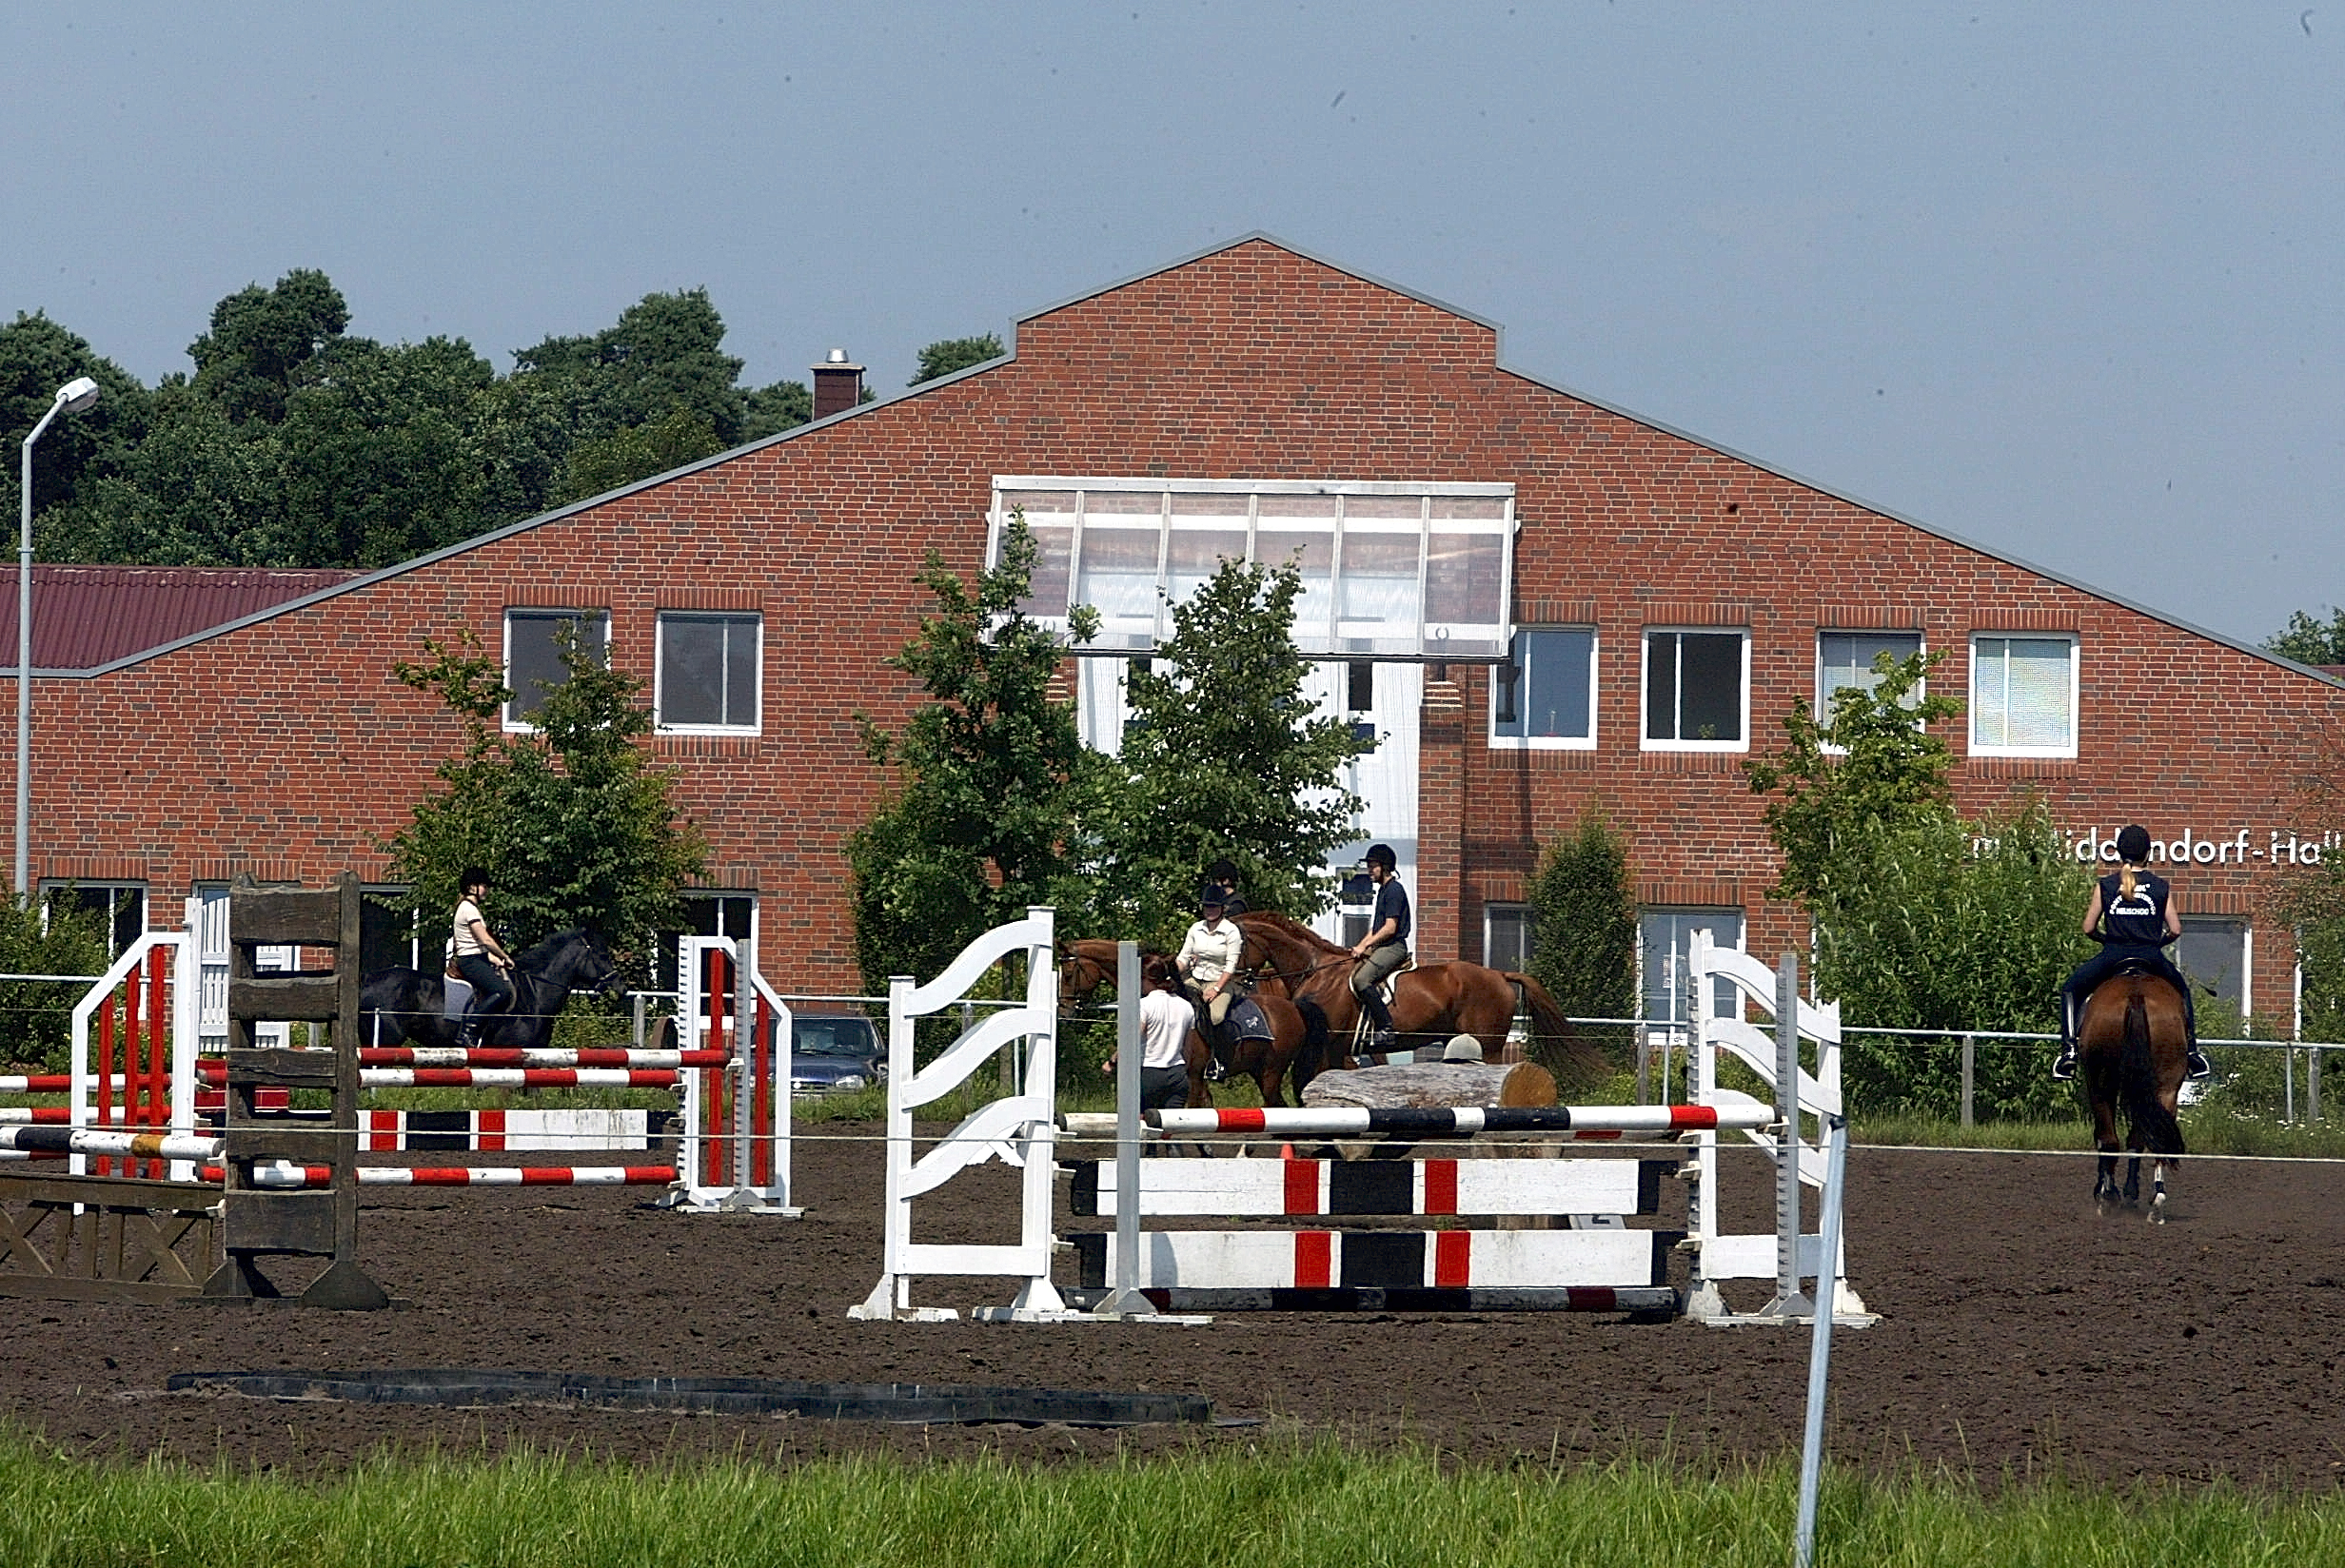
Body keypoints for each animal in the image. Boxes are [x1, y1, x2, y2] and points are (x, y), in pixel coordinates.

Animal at [1056, 939, 1332, 1109]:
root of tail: (1293, 1007)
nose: (1064, 1011)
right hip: (1259, 1071)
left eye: (1068, 975)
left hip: (1271, 1072)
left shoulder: (1193, 1076)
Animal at [1233, 911, 1610, 1089]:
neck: (1317, 970)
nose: (1233, 982)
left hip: (1488, 1046)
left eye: (1232, 943)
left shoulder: (1333, 1044)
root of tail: (1500, 975)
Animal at [2079, 966, 2189, 1224]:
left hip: (2101, 1083)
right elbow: (2137, 1140)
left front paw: (2106, 1191)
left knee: (2109, 1140)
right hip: (2165, 1087)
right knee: (2156, 1139)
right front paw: (2130, 1193)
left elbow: (2103, 1138)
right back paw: (2156, 1203)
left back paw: (2108, 1198)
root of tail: (2136, 995)